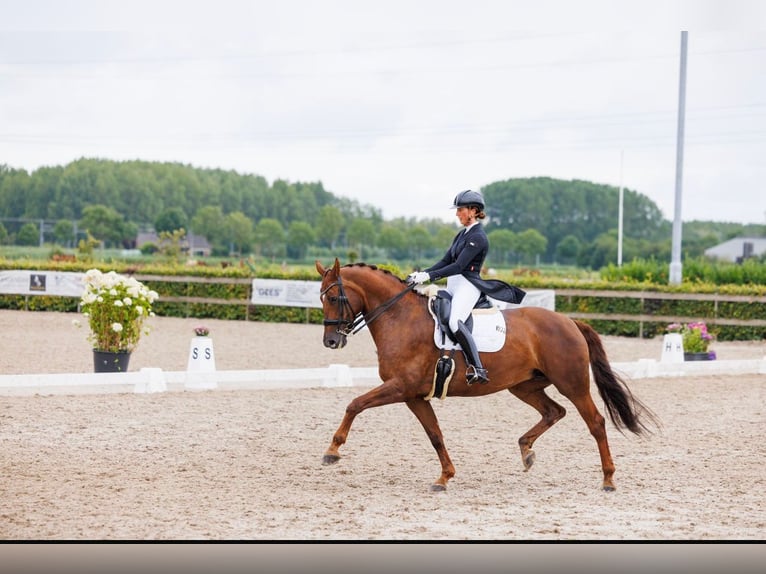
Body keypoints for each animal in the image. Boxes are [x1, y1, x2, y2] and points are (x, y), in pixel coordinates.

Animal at [318, 258, 660, 492]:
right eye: (320, 298)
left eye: (334, 298)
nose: (331, 342)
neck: (401, 318)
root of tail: (570, 321)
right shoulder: (414, 395)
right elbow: (435, 434)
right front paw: (444, 477)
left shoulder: (400, 387)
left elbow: (355, 404)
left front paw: (332, 451)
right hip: (524, 386)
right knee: (554, 411)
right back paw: (526, 451)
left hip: (572, 384)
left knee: (596, 423)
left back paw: (608, 479)